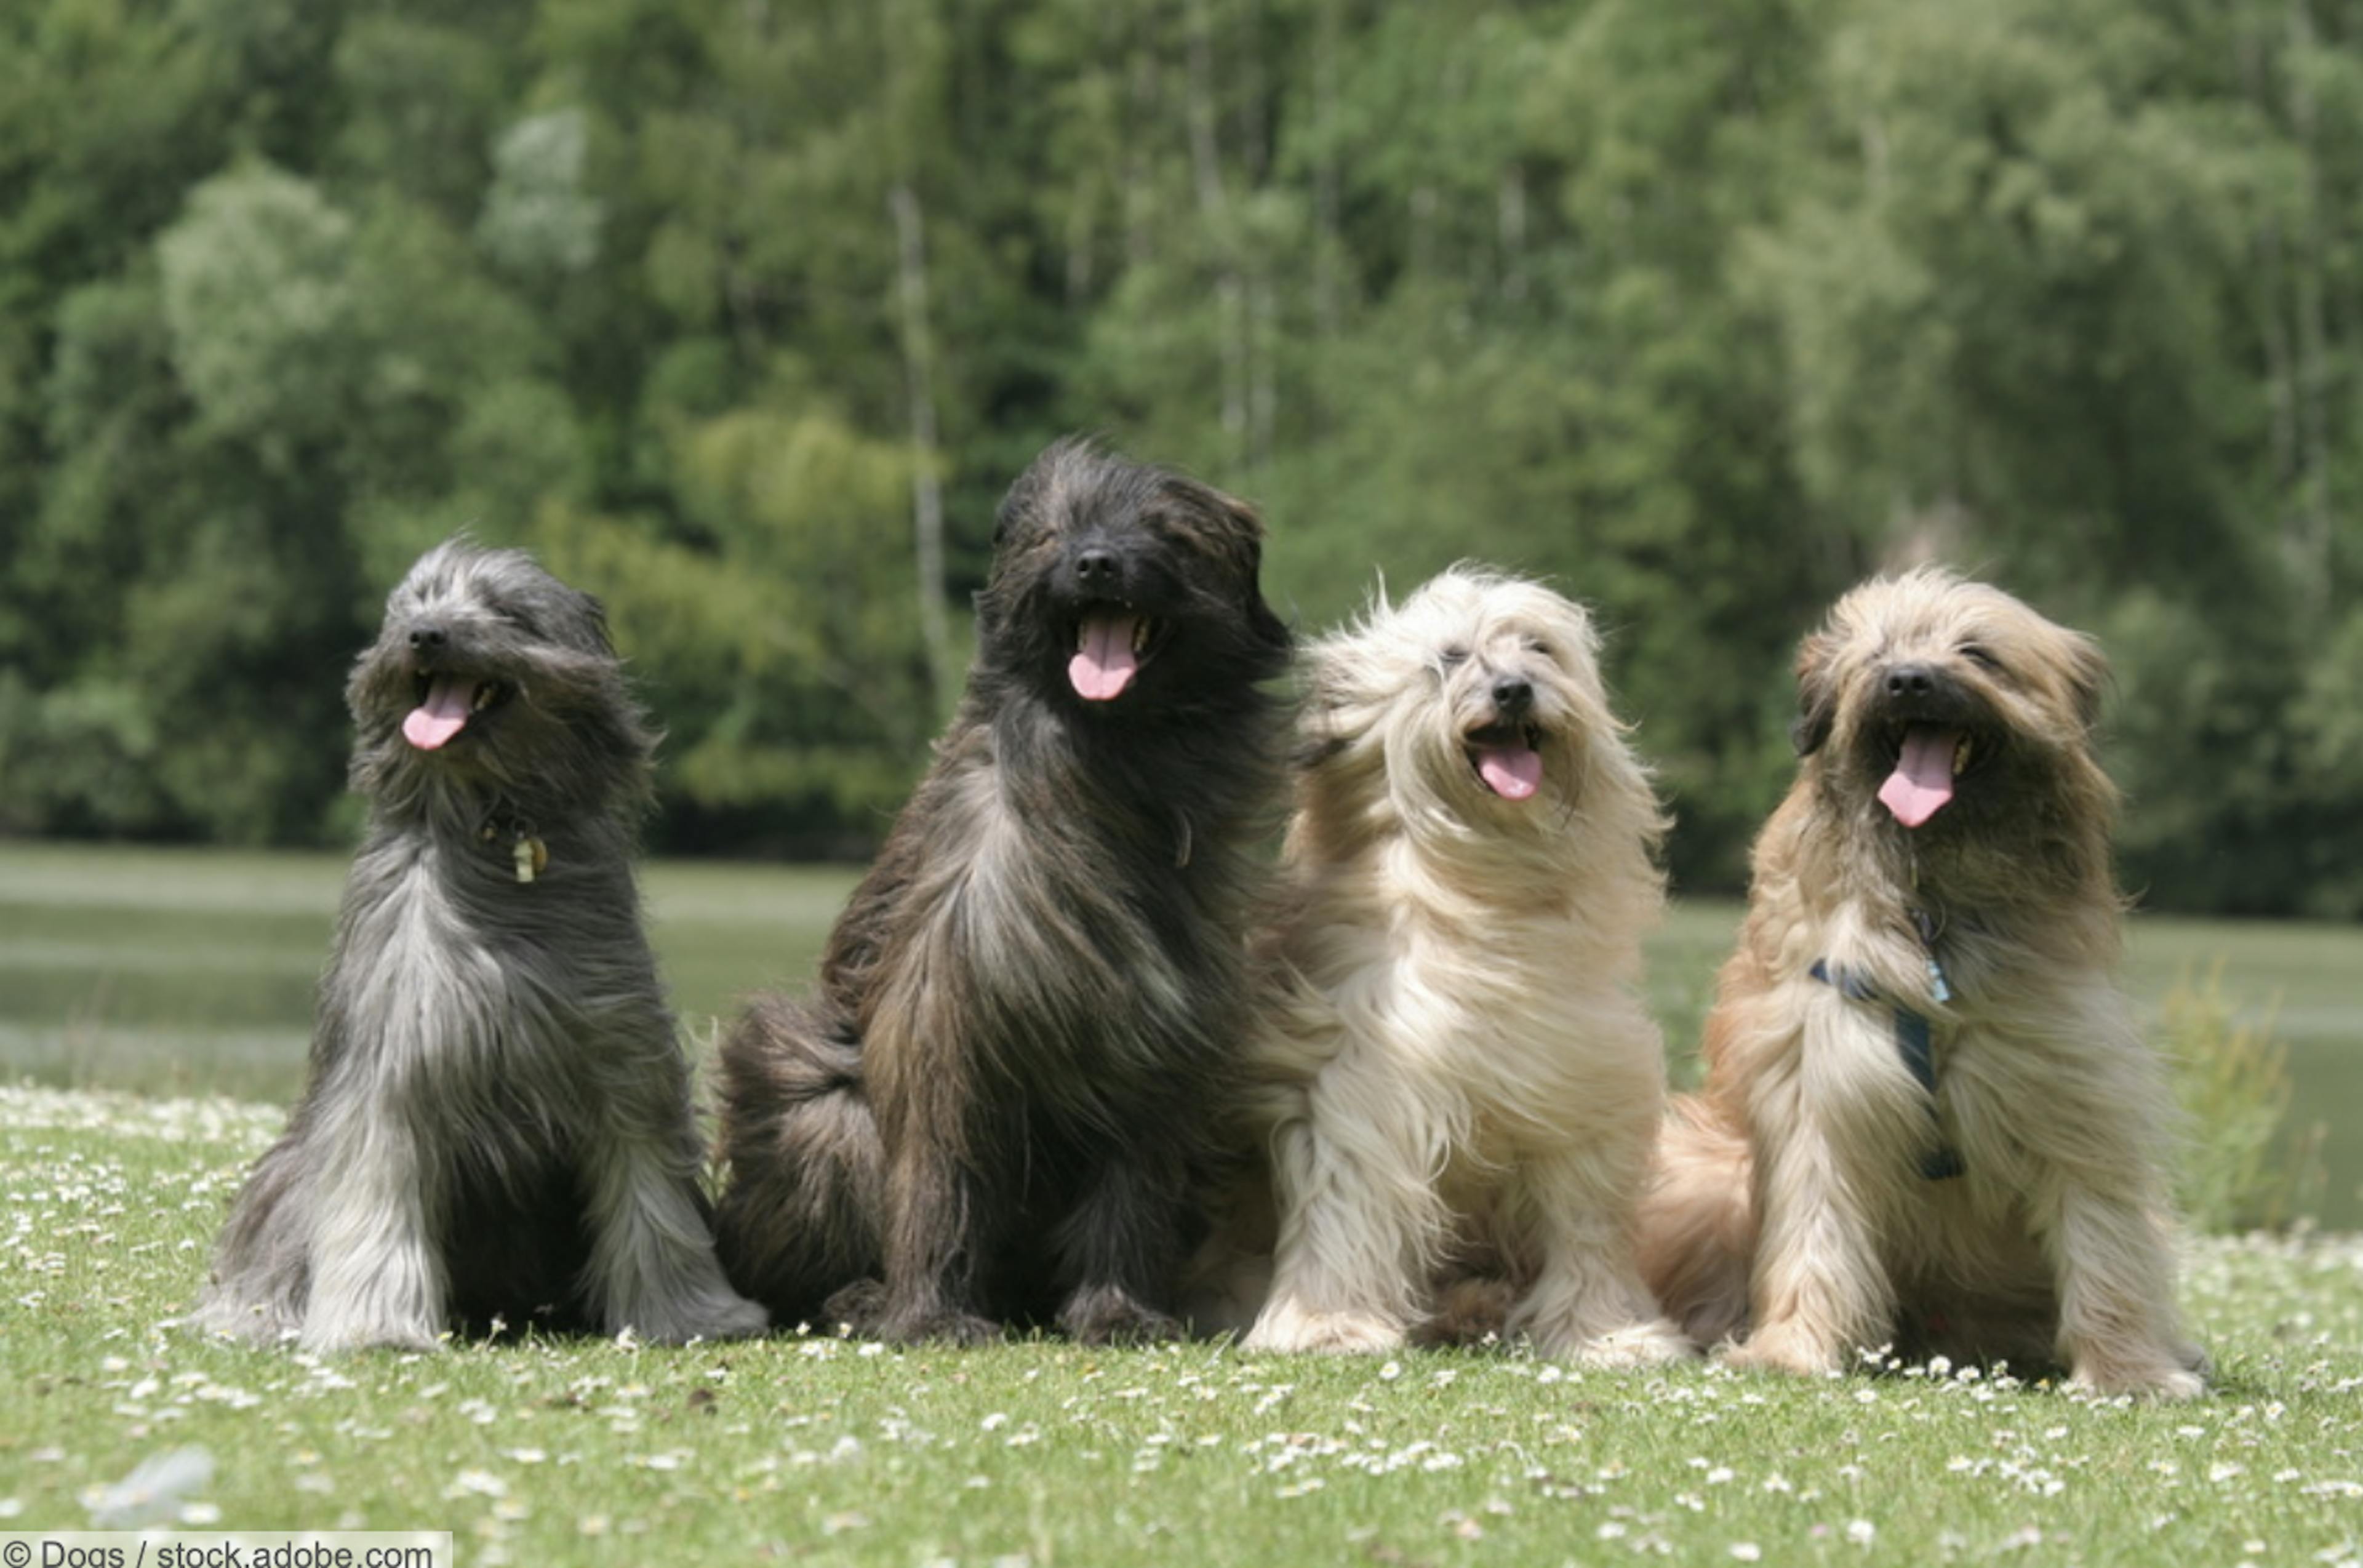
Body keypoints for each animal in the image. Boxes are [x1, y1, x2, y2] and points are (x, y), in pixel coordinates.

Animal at [197, 545, 766, 1350]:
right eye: (414, 602)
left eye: (503, 609)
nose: (427, 635)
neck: (495, 829)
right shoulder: (394, 1062)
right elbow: (375, 1193)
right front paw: (375, 1326)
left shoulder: (621, 1055)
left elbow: (651, 1194)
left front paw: (692, 1313)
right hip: (286, 1177)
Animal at [713, 441, 1295, 1350]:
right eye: (1055, 531)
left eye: (1167, 531)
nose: (1096, 562)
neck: (1105, 773)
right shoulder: (943, 1018)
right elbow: (939, 1178)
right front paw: (934, 1316)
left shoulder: (1156, 1046)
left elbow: (1130, 1189)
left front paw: (1117, 1310)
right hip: (815, 1104)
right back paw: (861, 1297)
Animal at [1200, 569, 1701, 1369]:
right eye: (1448, 658)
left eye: (1539, 647)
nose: (1514, 690)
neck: (1484, 892)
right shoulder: (1363, 1083)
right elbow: (1350, 1200)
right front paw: (1329, 1325)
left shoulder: (1578, 1084)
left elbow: (1585, 1224)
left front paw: (1607, 1333)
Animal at [1635, 566, 2202, 1398]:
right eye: (1877, 655)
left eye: (1977, 653)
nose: (1908, 679)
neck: (1927, 902)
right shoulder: (1819, 1080)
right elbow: (1814, 1224)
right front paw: (1792, 1349)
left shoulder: (2069, 1081)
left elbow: (2102, 1232)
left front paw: (2128, 1369)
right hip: (1707, 1173)